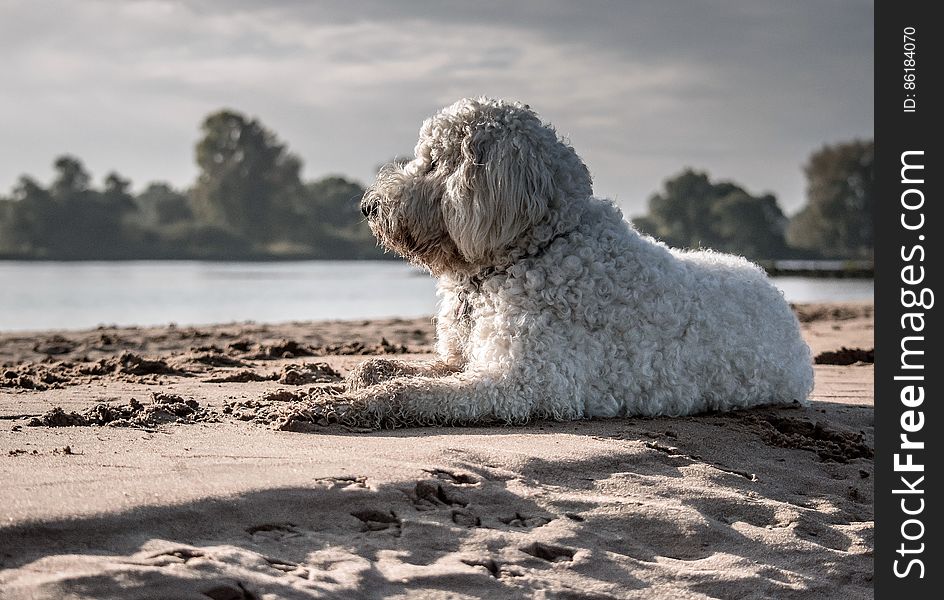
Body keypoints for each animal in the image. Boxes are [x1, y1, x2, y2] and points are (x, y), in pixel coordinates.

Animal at [320, 97, 808, 426]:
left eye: (436, 163)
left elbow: (409, 393)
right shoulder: (463, 360)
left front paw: (349, 403)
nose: (369, 207)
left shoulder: (522, 383)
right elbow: (401, 370)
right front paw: (365, 373)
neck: (535, 247)